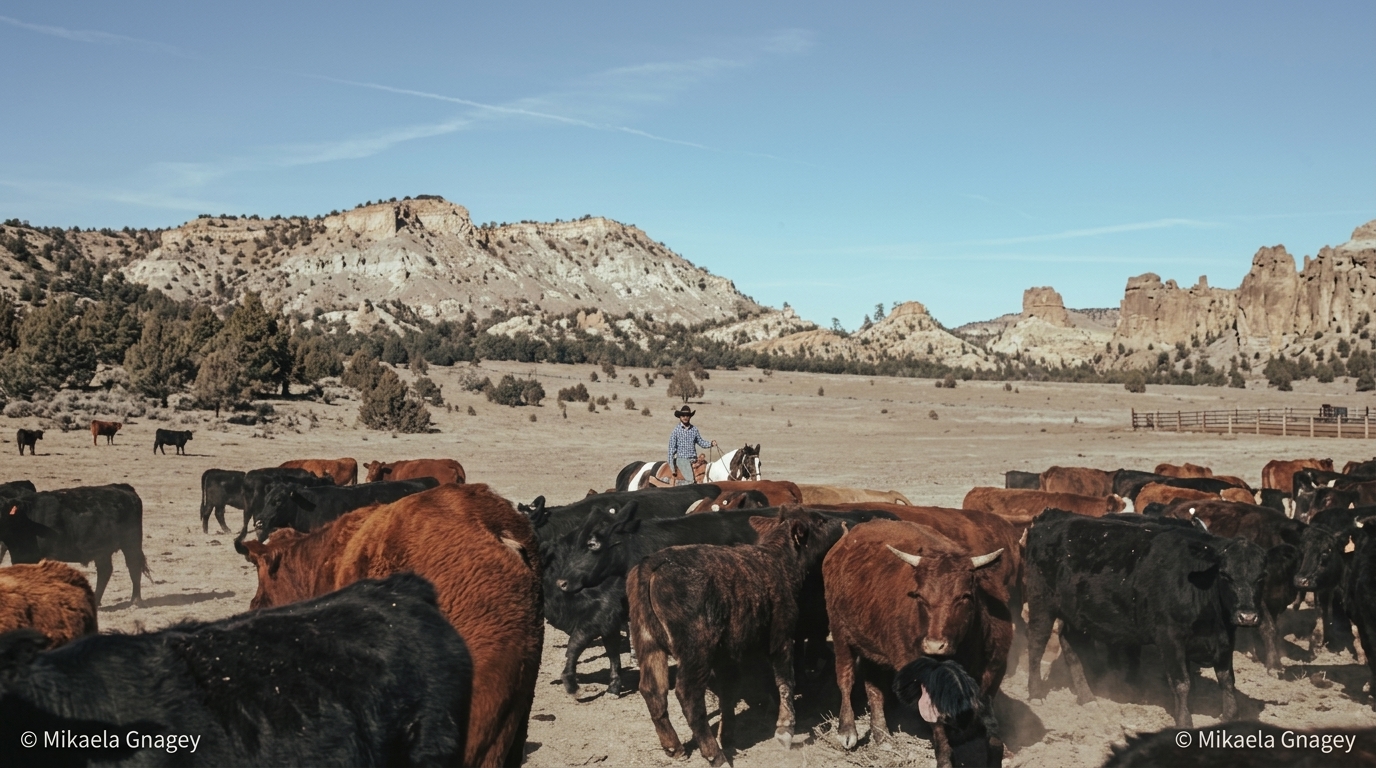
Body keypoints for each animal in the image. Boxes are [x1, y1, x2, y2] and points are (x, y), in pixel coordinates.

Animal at [0, 483, 148, 605]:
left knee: (133, 565)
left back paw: (135, 600)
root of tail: (123, 488)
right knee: (105, 571)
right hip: (102, 550)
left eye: (2, 511)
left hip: (131, 543)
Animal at [629, 508, 844, 766]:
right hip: (696, 651)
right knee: (687, 693)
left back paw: (674, 747)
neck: (778, 561)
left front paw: (728, 735)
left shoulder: (728, 653)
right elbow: (785, 680)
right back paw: (715, 755)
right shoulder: (780, 635)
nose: (841, 522)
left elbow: (729, 691)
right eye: (820, 521)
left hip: (648, 643)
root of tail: (654, 565)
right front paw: (785, 729)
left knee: (653, 690)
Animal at [823, 519, 1009, 766]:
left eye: (964, 596)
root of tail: (846, 539)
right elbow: (935, 720)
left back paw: (882, 736)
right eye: (920, 596)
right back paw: (847, 730)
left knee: (874, 689)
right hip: (840, 631)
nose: (933, 646)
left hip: (873, 648)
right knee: (846, 679)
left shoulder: (994, 672)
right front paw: (944, 759)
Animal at [1026, 509, 1267, 727]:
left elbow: (1227, 679)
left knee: (1072, 647)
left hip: (1076, 615)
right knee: (1036, 646)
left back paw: (1087, 698)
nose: (1247, 616)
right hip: (1041, 604)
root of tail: (1049, 521)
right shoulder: (1169, 638)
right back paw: (1035, 694)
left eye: (1261, 577)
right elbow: (1182, 683)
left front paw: (1230, 716)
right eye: (1225, 575)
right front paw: (1184, 720)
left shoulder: (1225, 640)